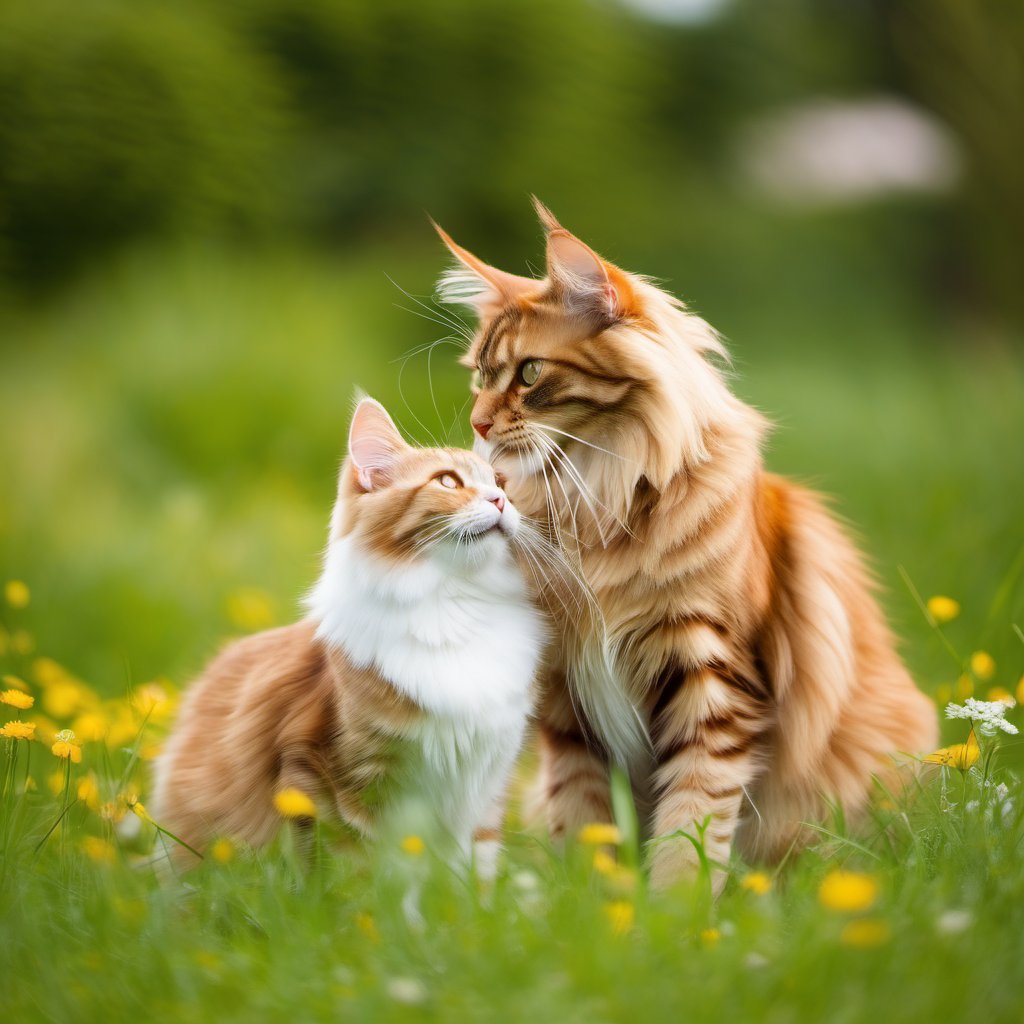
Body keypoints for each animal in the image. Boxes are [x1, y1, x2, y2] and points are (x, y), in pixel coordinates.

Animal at [149, 397, 544, 872]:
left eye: (501, 482)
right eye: (448, 481)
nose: (500, 499)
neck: (453, 605)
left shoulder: (487, 784)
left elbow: (473, 871)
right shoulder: (330, 774)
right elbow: (363, 872)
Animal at [432, 197, 937, 888]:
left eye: (529, 373)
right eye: (479, 379)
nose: (479, 423)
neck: (599, 500)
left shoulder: (714, 678)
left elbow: (692, 819)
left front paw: (674, 906)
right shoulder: (566, 692)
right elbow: (586, 817)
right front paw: (596, 900)